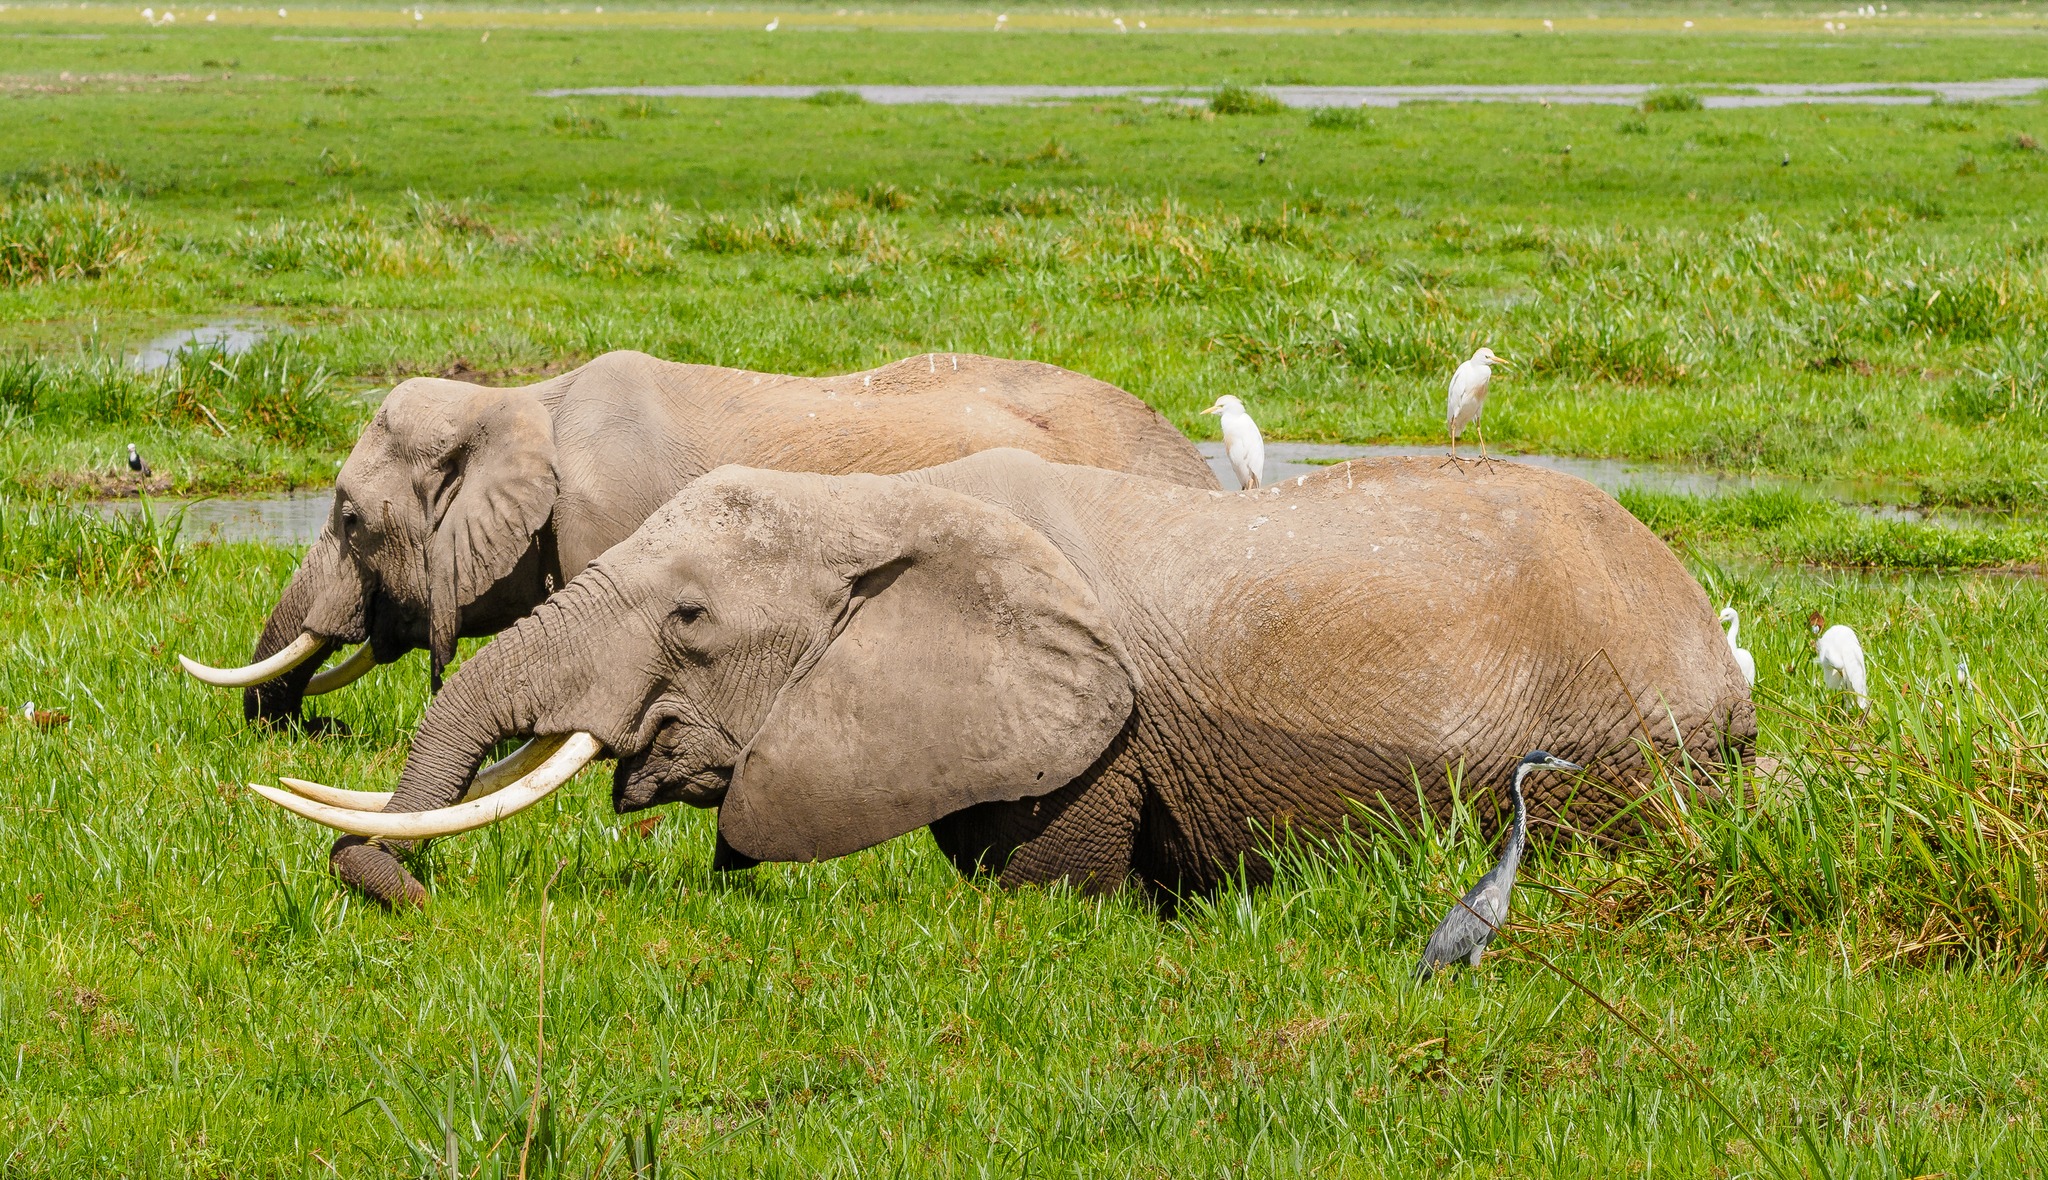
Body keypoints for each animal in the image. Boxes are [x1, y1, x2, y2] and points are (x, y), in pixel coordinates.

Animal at [250, 448, 1758, 909]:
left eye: (689, 618)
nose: (399, 894)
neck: (887, 503)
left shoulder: (1096, 742)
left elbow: (1041, 890)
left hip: (1617, 757)